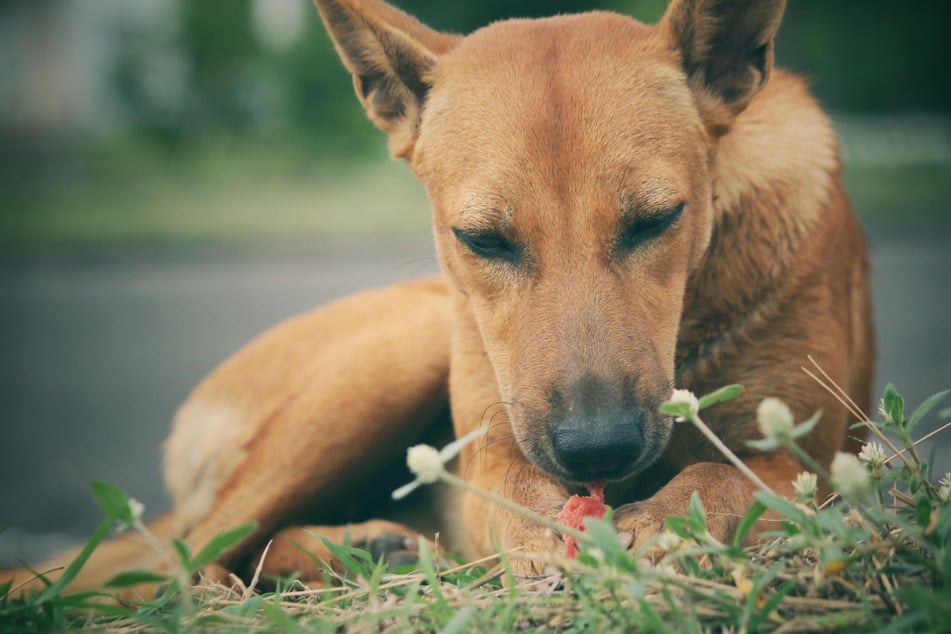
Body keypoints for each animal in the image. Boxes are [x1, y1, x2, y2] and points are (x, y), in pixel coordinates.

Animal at [3, 0, 872, 592]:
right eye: (482, 240)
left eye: (657, 219)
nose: (597, 451)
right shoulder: (492, 456)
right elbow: (515, 499)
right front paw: (558, 543)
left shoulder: (810, 462)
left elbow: (721, 480)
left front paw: (659, 524)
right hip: (388, 359)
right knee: (187, 560)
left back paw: (360, 549)